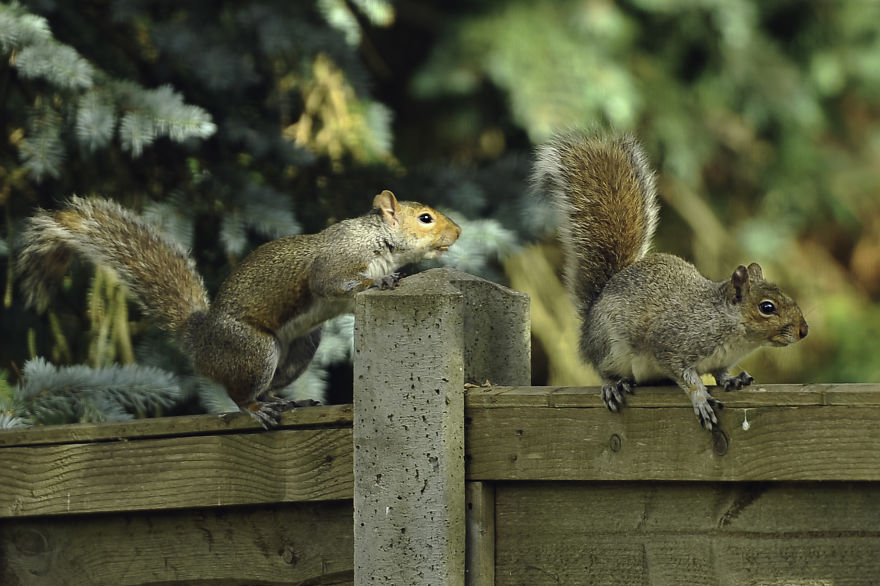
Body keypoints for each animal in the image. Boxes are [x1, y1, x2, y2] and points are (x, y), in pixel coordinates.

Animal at [17, 190, 461, 428]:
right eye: (425, 218)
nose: (458, 233)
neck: (376, 239)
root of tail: (200, 339)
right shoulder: (336, 261)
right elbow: (330, 283)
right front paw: (380, 282)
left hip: (298, 350)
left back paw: (287, 401)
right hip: (253, 350)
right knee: (238, 393)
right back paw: (257, 409)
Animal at [532, 129, 809, 430]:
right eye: (767, 307)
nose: (804, 331)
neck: (728, 325)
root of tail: (594, 307)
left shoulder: (720, 360)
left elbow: (720, 372)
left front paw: (732, 379)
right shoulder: (673, 345)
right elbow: (687, 378)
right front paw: (700, 399)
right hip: (609, 345)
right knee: (601, 367)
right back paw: (613, 385)